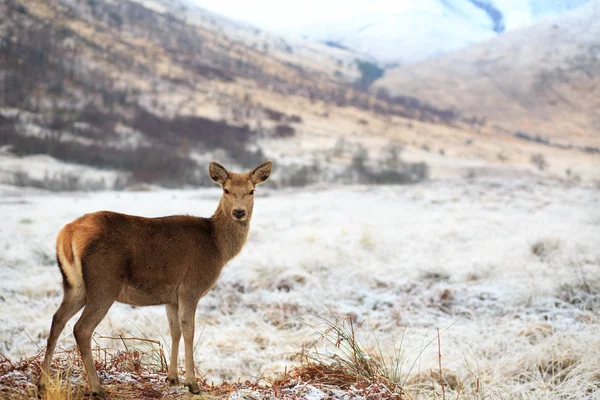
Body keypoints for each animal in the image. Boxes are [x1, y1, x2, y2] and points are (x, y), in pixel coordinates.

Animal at [37, 161, 272, 398]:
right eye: (226, 190)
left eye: (251, 191)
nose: (239, 212)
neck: (217, 246)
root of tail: (66, 235)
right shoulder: (191, 288)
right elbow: (189, 330)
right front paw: (192, 383)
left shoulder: (171, 296)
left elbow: (174, 330)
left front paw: (172, 378)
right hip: (104, 282)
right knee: (81, 328)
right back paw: (97, 388)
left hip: (74, 285)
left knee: (57, 319)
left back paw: (43, 382)